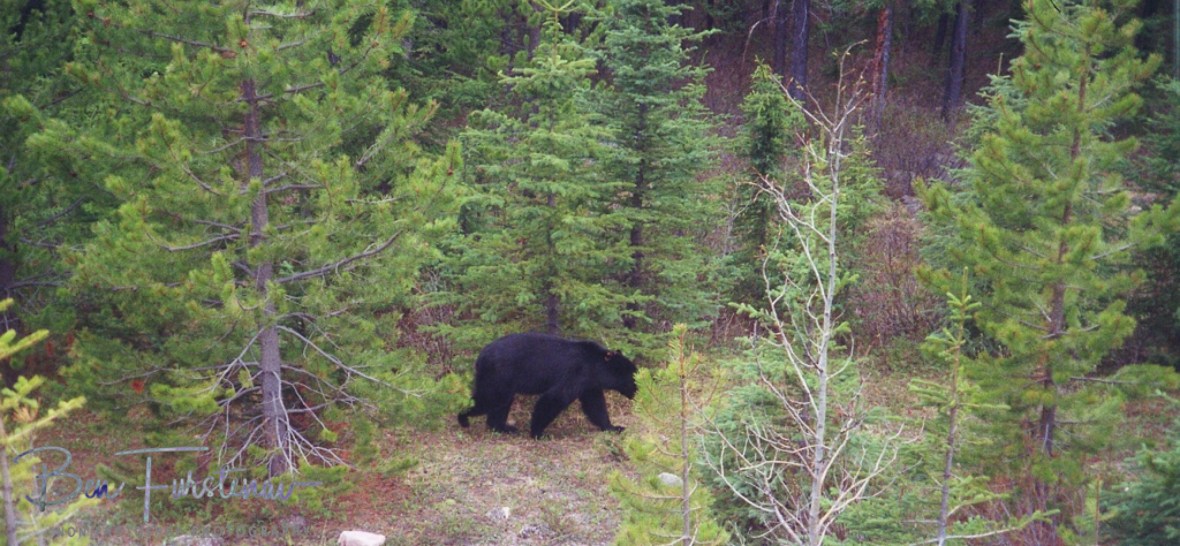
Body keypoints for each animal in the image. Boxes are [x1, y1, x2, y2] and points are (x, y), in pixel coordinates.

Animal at [457, 333, 638, 439]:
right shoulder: (576, 374)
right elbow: (554, 398)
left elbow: (595, 405)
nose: (638, 393)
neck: (595, 365)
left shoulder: (589, 384)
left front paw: (614, 427)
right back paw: (463, 418)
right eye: (633, 377)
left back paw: (504, 427)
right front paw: (537, 432)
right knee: (490, 398)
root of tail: (480, 356)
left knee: (501, 403)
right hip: (499, 375)